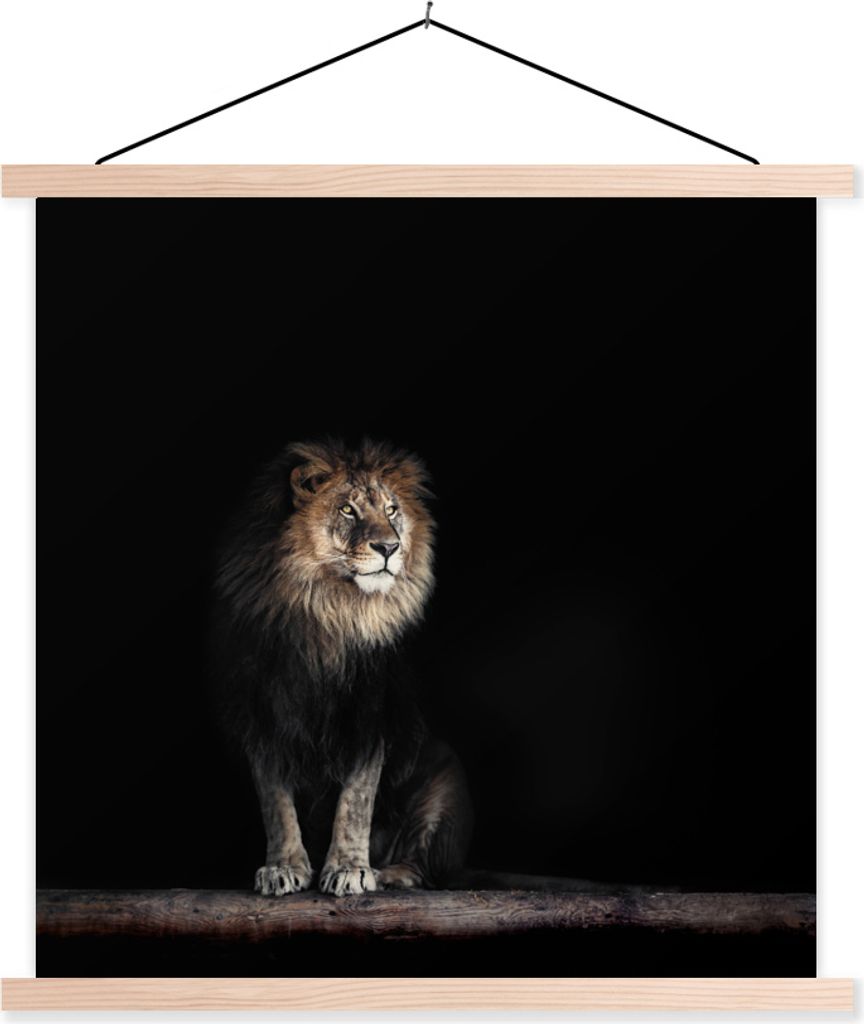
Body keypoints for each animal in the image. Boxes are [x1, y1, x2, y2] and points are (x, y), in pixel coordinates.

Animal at [209, 436, 474, 896]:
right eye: (348, 509)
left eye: (391, 510)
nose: (389, 547)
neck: (327, 613)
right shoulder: (262, 716)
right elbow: (276, 805)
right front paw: (282, 868)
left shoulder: (371, 715)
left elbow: (356, 801)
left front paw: (350, 869)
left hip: (447, 782)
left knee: (422, 870)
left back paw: (386, 874)